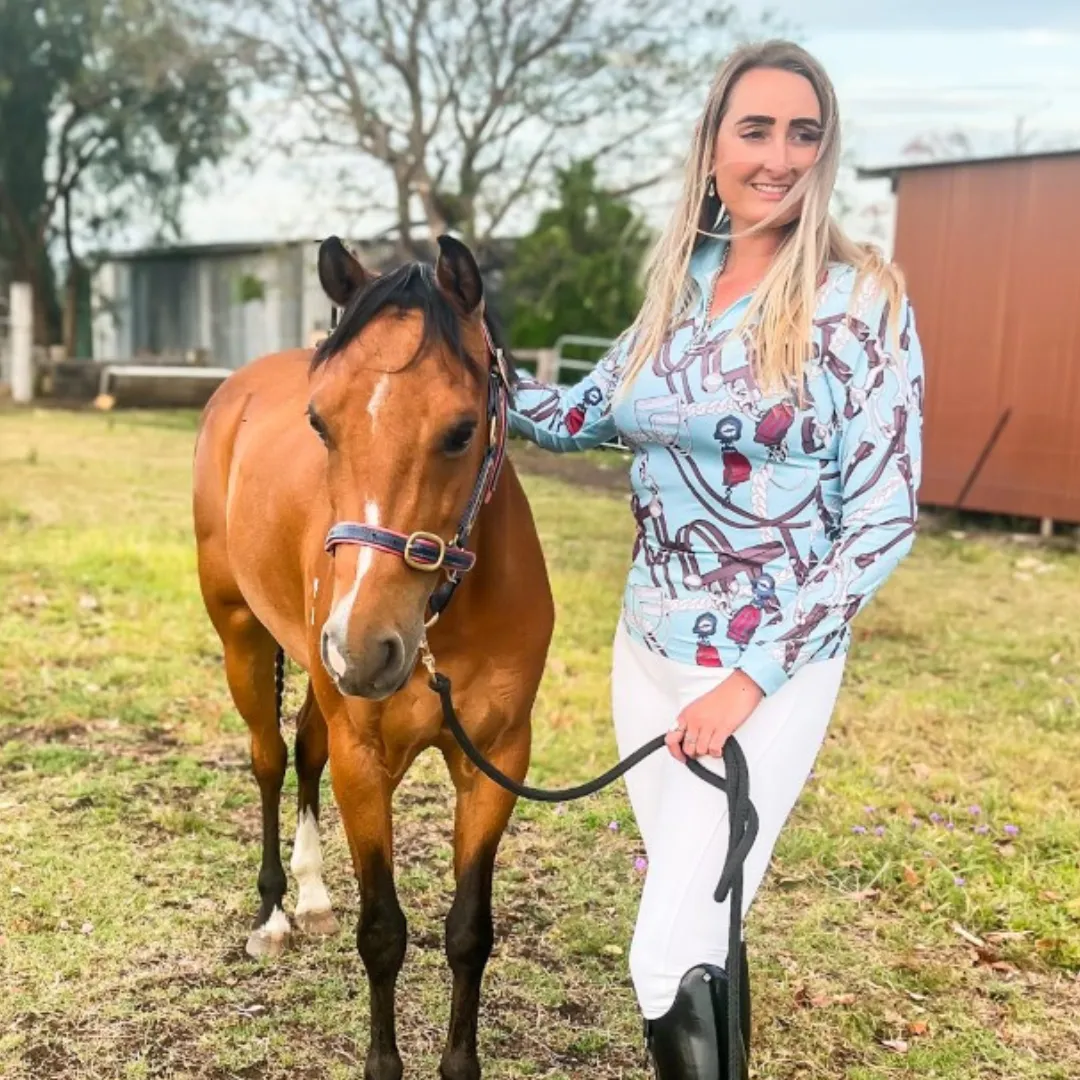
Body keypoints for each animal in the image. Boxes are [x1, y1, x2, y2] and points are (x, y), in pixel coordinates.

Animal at [189, 236, 552, 1080]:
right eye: (320, 424)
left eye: (461, 430)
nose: (363, 648)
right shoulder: (365, 760)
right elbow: (384, 933)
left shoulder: (496, 761)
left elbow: (469, 931)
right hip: (243, 637)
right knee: (268, 756)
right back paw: (273, 912)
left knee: (303, 744)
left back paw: (315, 897)